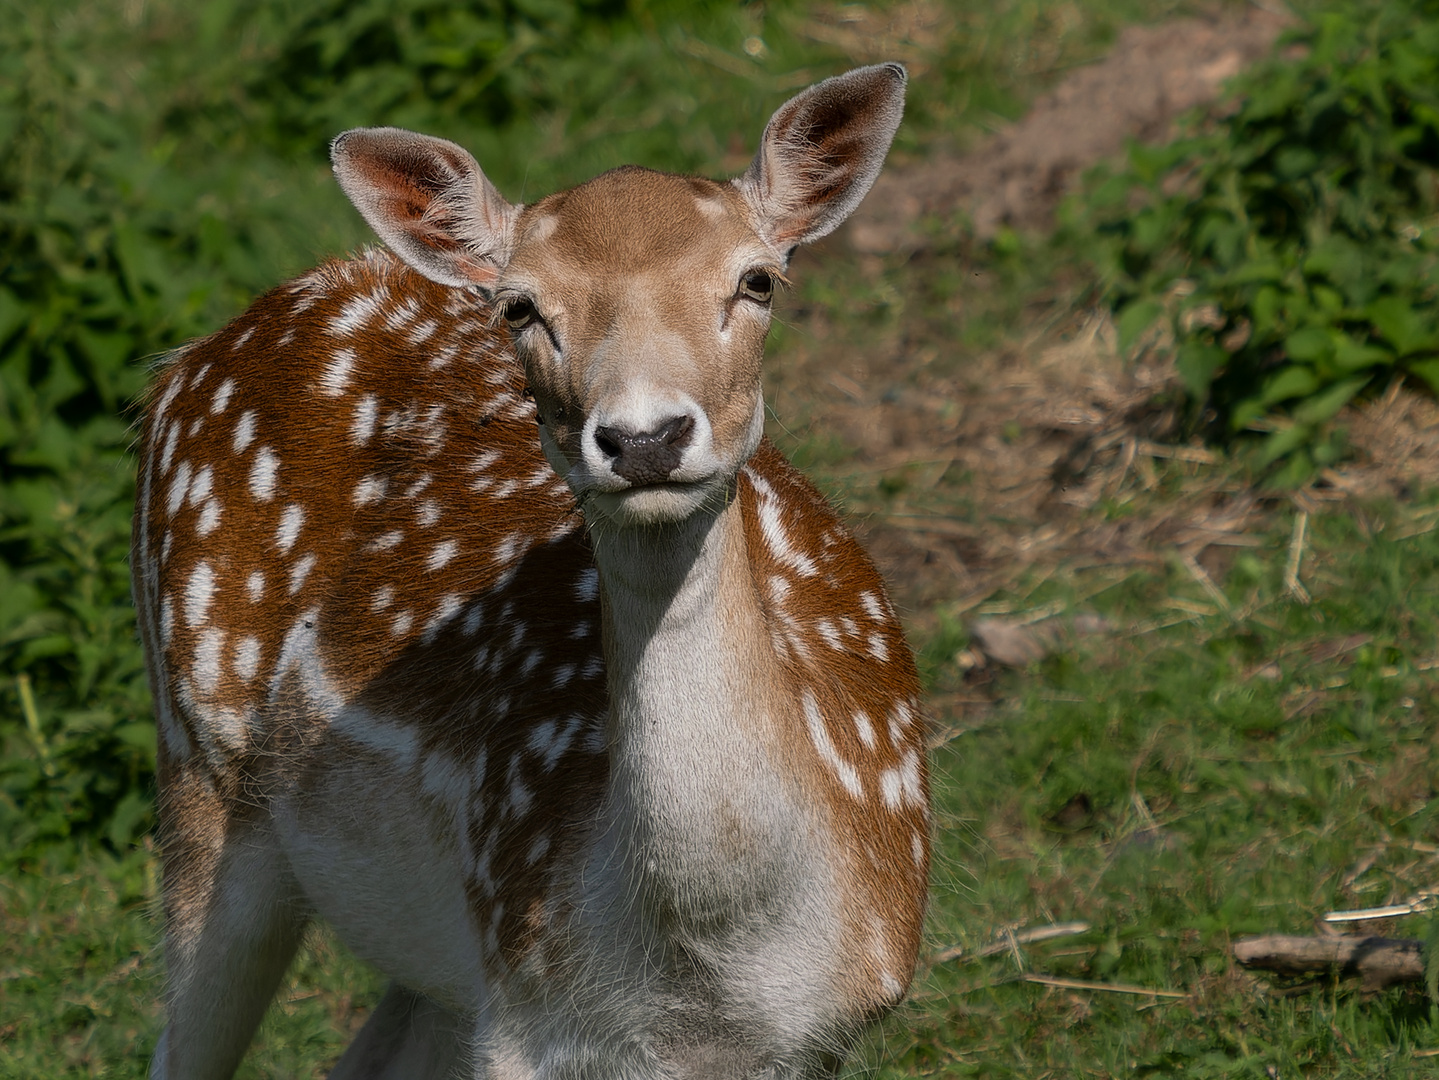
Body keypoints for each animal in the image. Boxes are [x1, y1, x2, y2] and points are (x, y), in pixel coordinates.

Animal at [137, 63, 932, 1075]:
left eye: (757, 279)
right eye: (520, 305)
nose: (644, 438)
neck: (704, 987)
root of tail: (184, 362)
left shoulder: (834, 1023)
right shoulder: (524, 1002)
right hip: (198, 769)